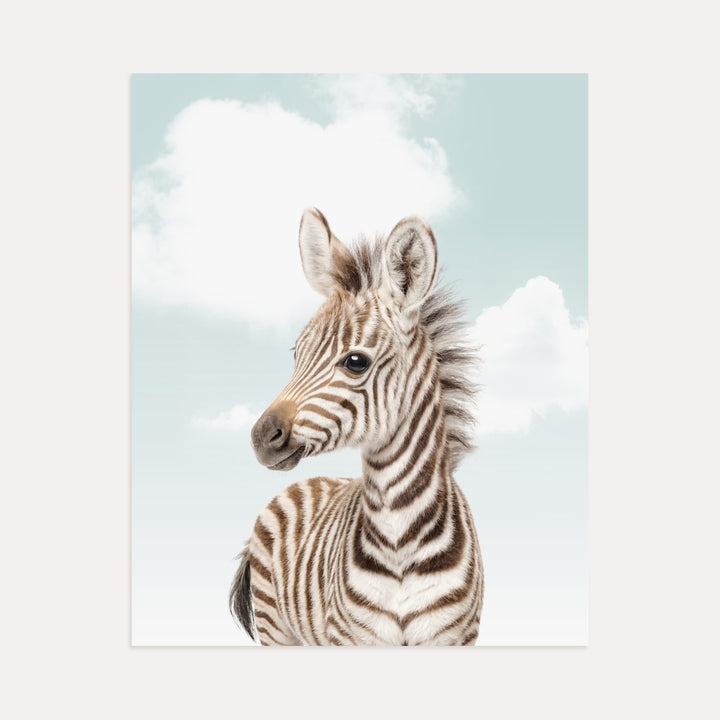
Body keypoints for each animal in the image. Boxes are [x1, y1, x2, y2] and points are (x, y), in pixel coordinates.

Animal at [230, 207, 483, 646]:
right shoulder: (352, 638)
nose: (261, 438)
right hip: (275, 627)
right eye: (296, 353)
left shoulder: (454, 637)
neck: (400, 538)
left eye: (355, 362)